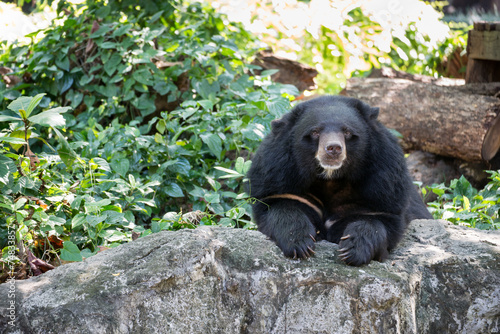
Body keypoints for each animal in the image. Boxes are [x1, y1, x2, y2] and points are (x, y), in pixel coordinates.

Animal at [248, 96, 432, 266]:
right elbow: (280, 206)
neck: (331, 178)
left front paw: (353, 249)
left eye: (347, 132)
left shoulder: (383, 182)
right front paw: (300, 244)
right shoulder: (278, 174)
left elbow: (377, 219)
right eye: (315, 132)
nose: (333, 148)